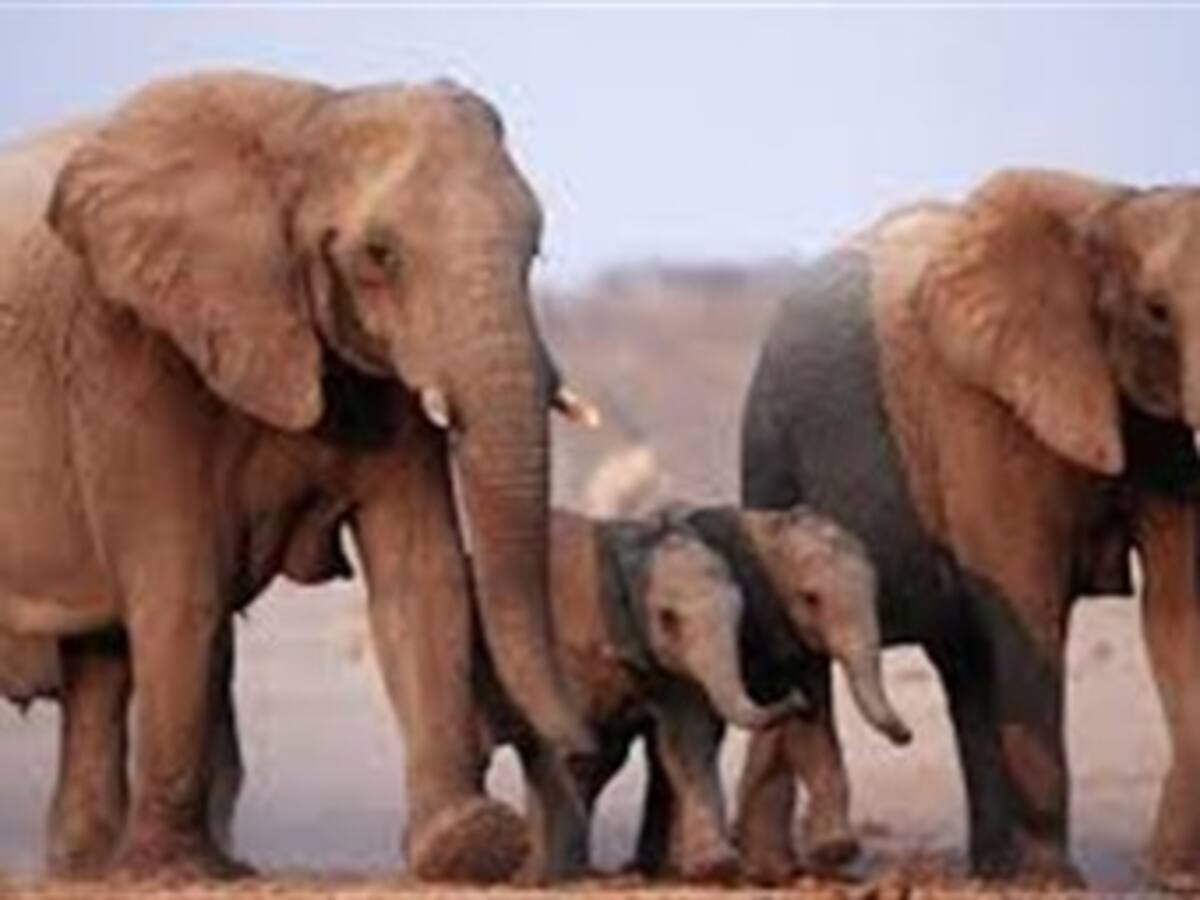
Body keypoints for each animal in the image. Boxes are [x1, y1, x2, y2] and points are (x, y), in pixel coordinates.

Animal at [0, 69, 598, 881]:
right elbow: (183, 588)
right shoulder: (131, 352)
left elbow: (422, 570)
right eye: (380, 254)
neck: (313, 118)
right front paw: (179, 875)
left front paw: (467, 845)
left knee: (100, 658)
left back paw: (87, 870)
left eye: (534, 251)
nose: (576, 744)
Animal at [738, 169, 1200, 886]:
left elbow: (1178, 604)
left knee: (963, 664)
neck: (1110, 207)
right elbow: (1028, 603)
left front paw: (1177, 877)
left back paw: (989, 872)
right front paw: (1054, 885)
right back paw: (776, 871)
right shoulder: (980, 410)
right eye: (1156, 310)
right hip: (768, 445)